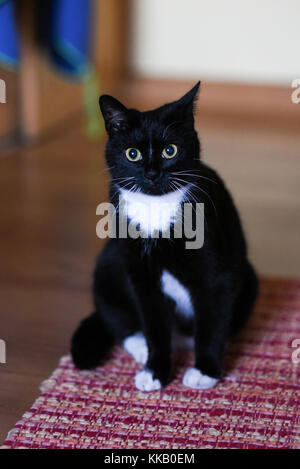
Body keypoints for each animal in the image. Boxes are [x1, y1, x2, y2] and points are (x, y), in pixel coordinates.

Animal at [70, 83, 258, 392]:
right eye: (132, 154)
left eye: (171, 150)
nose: (152, 173)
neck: (156, 209)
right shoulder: (141, 276)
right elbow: (154, 326)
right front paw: (155, 370)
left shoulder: (218, 274)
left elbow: (213, 320)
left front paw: (206, 371)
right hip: (107, 264)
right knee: (116, 317)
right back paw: (141, 348)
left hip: (249, 276)